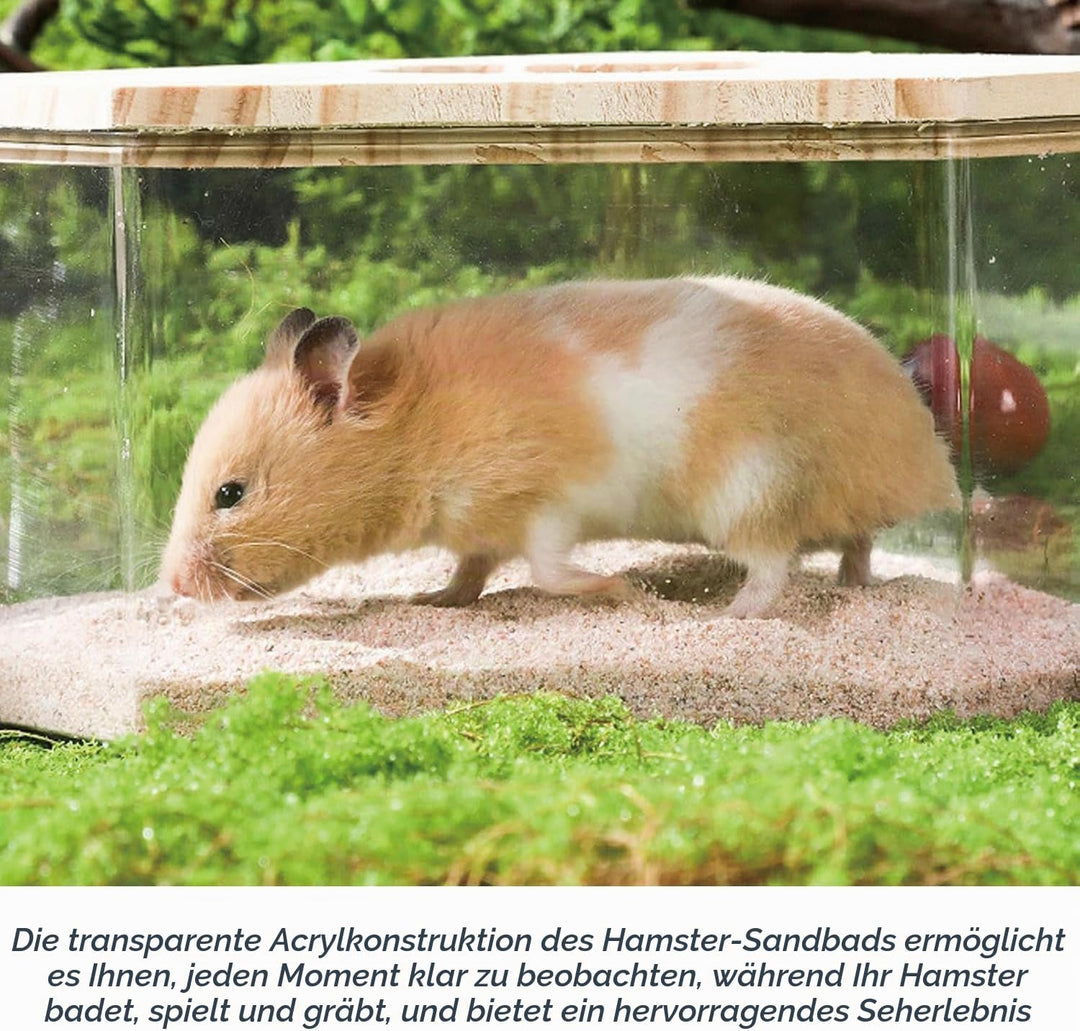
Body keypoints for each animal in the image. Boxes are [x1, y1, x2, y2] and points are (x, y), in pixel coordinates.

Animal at [160, 277, 959, 618]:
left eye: (230, 493)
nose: (171, 586)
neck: (414, 437)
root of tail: (929, 460)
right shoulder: (480, 527)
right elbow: (471, 569)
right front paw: (433, 599)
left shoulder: (545, 507)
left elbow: (548, 571)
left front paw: (624, 591)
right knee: (858, 545)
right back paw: (855, 587)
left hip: (749, 490)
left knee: (771, 572)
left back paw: (723, 616)